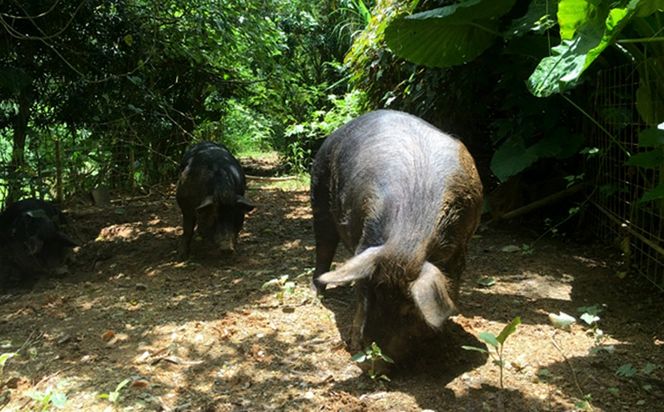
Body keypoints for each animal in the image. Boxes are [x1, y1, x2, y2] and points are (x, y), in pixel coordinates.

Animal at [312, 109, 482, 370]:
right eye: (367, 292)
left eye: (409, 309)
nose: (376, 364)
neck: (407, 244)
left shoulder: (460, 250)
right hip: (318, 191)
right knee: (323, 247)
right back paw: (318, 294)